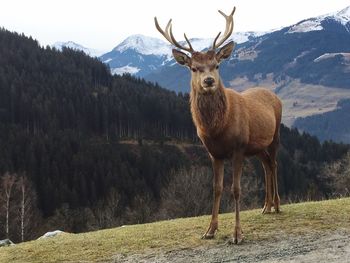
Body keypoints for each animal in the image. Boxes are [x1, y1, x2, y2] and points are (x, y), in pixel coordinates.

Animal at [155, 5, 282, 245]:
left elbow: (236, 189)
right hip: (257, 146)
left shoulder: (239, 147)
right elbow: (216, 189)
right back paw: (267, 206)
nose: (209, 81)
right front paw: (210, 230)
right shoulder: (214, 153)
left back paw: (278, 206)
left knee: (274, 164)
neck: (217, 129)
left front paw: (237, 234)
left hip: (276, 134)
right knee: (266, 165)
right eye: (194, 68)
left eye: (216, 65)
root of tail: (275, 96)